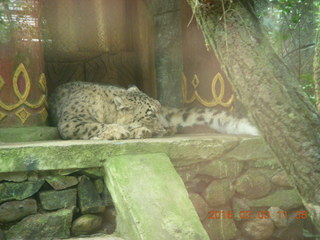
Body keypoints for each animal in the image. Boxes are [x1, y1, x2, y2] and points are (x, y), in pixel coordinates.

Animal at [48, 81, 258, 140]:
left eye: (158, 109)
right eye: (150, 115)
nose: (164, 125)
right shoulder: (72, 120)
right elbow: (95, 125)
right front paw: (119, 131)